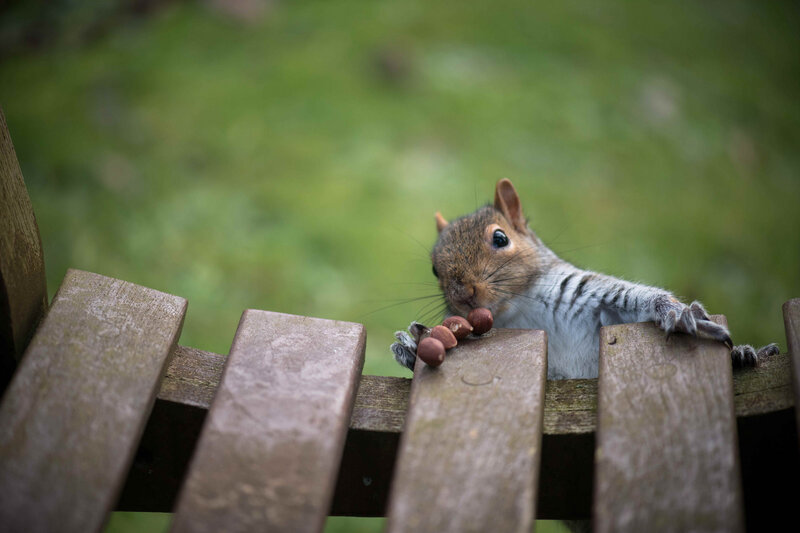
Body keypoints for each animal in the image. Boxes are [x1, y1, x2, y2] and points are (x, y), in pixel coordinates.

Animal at [391, 178, 779, 379]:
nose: (464, 294)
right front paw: (410, 345)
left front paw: (677, 312)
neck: (518, 312)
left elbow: (634, 297)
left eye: (500, 238)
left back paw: (744, 354)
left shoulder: (587, 294)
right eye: (434, 268)